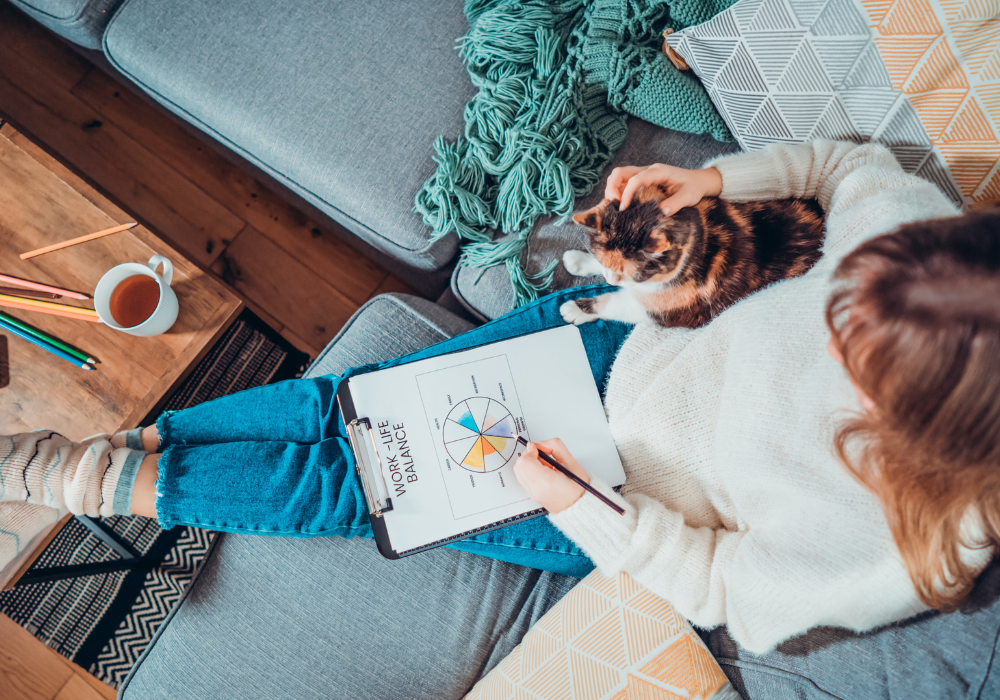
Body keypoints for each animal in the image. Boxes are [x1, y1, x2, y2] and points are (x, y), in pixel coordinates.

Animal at [560, 185, 824, 330]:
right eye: (602, 260)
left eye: (634, 273)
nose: (611, 281)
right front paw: (578, 260)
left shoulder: (674, 310)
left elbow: (615, 303)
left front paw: (575, 309)